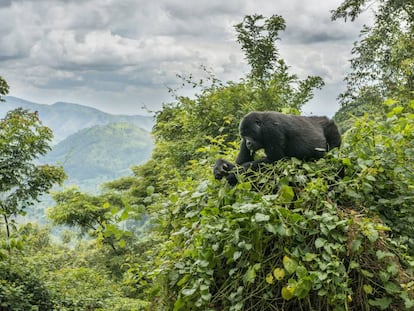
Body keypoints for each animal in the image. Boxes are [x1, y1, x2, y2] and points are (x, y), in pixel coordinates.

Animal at [212, 111, 342, 185]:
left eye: (250, 133)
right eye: (244, 135)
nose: (248, 143)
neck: (261, 125)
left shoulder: (271, 129)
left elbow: (275, 160)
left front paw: (233, 174)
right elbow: (240, 162)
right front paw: (220, 165)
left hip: (332, 129)